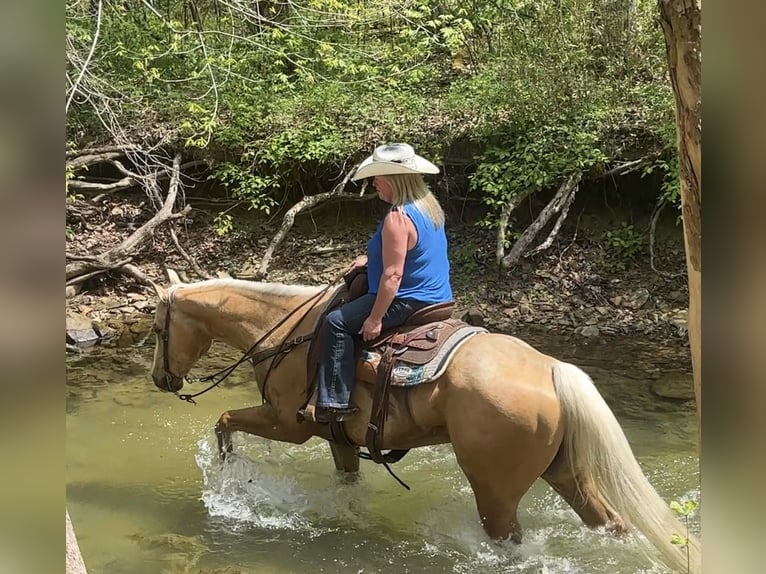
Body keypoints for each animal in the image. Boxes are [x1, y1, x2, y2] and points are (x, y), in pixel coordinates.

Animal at [149, 274, 700, 574]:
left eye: (157, 329)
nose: (160, 379)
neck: (287, 332)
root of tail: (550, 368)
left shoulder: (289, 424)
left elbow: (223, 421)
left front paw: (229, 479)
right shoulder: (337, 436)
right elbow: (347, 484)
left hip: (495, 492)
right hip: (566, 473)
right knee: (611, 524)